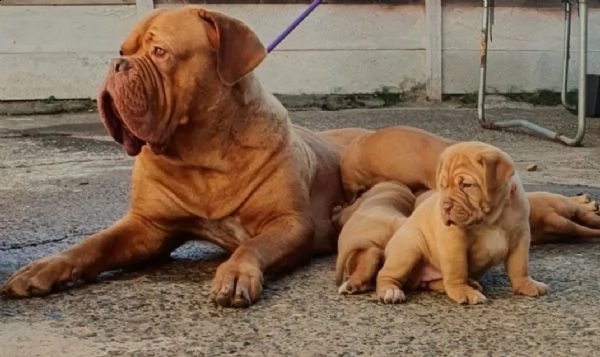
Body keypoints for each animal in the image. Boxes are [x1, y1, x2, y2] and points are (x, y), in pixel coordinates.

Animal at [0, 5, 344, 308]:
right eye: (124, 51)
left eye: (159, 52)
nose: (115, 63)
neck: (202, 154)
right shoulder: (149, 226)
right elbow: (94, 243)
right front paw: (44, 266)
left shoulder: (290, 222)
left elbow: (252, 245)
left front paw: (235, 273)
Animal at [380, 140, 548, 304]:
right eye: (442, 186)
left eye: (466, 185)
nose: (445, 206)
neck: (492, 219)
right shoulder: (454, 238)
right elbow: (457, 267)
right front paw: (463, 290)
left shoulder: (520, 235)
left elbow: (519, 265)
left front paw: (526, 284)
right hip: (408, 249)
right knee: (385, 274)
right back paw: (391, 291)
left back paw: (469, 283)